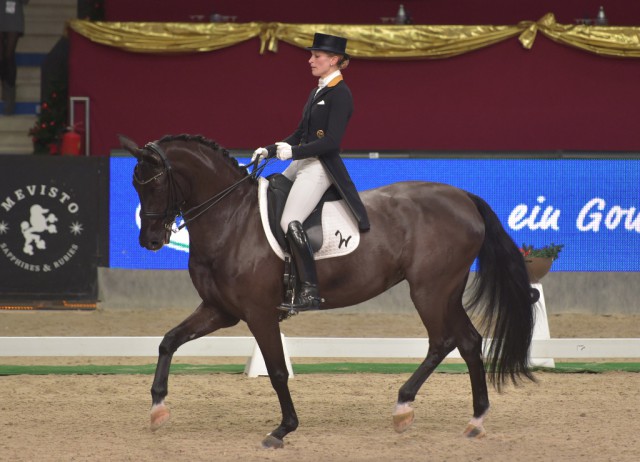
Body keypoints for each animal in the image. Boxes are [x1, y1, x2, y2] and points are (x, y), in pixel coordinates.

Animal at [119, 134, 536, 448]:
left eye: (154, 183)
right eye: (135, 184)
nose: (150, 241)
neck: (231, 218)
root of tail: (464, 198)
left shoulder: (258, 313)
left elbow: (277, 371)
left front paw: (282, 429)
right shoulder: (220, 310)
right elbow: (169, 341)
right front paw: (157, 408)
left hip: (429, 291)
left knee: (443, 341)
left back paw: (403, 407)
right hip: (446, 291)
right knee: (469, 341)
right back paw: (475, 419)